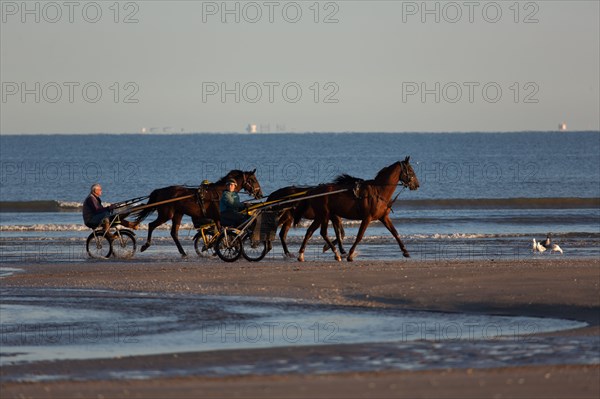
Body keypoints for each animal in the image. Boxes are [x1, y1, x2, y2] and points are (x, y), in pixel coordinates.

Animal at [132, 170, 262, 258]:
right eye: (253, 180)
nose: (260, 193)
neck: (220, 192)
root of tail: (160, 191)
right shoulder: (218, 217)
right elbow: (221, 232)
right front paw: (223, 246)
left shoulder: (216, 219)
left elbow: (220, 232)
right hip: (166, 214)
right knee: (151, 225)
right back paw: (145, 245)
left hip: (178, 214)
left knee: (174, 233)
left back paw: (183, 252)